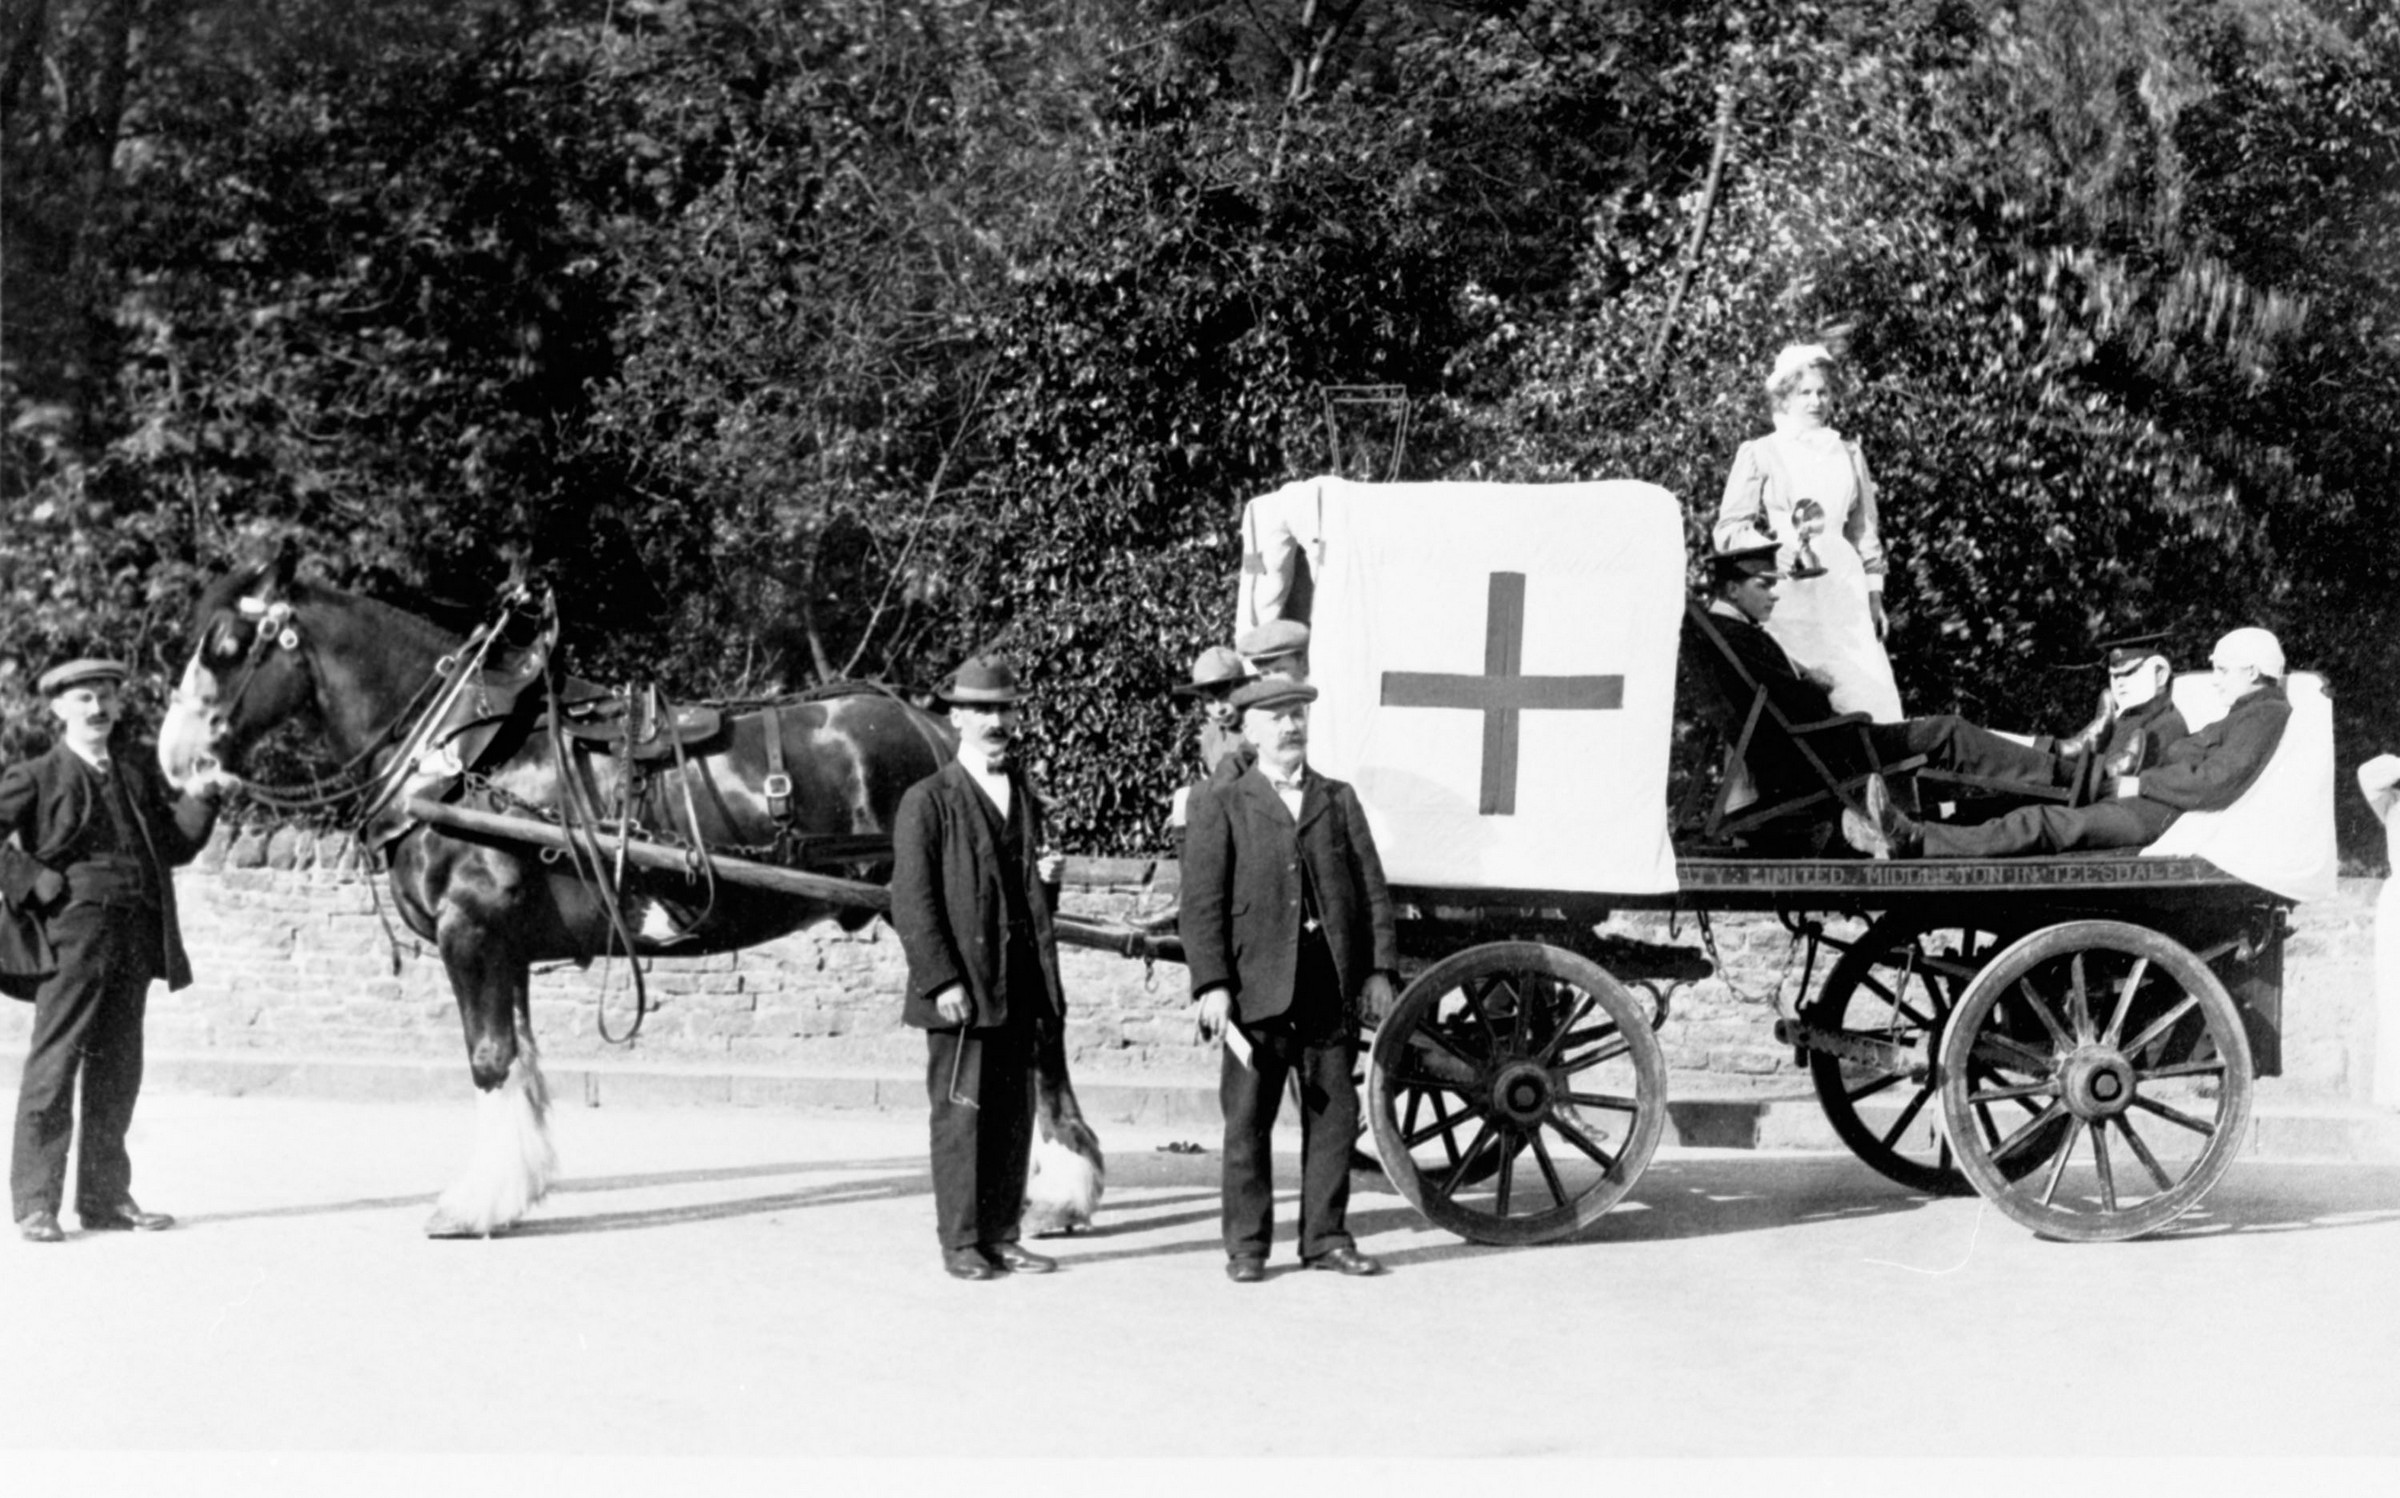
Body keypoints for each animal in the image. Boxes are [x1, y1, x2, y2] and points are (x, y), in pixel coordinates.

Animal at [156, 548, 1103, 1237]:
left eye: (227, 648)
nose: (176, 759)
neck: (457, 754)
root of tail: (955, 735)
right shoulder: (505, 946)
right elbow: (521, 1058)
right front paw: (519, 1186)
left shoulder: (472, 932)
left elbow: (488, 1061)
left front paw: (474, 1204)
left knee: (1036, 1029)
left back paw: (1062, 1190)